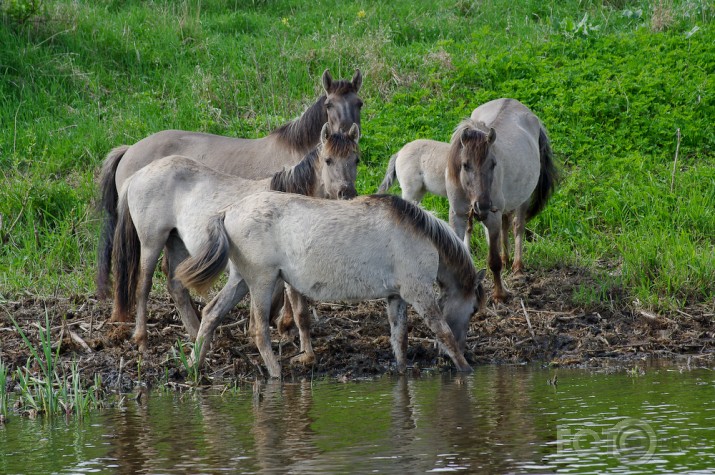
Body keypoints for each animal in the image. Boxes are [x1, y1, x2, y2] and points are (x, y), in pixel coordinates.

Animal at [110, 122, 360, 354]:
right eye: (328, 160)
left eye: (356, 159)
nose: (347, 193)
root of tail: (138, 174)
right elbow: (299, 312)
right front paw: (304, 352)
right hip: (151, 242)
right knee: (143, 286)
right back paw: (142, 339)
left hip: (177, 242)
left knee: (176, 287)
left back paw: (197, 335)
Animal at [175, 192, 486, 378]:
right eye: (473, 310)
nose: (465, 347)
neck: (420, 233)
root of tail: (229, 210)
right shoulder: (419, 293)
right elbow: (443, 331)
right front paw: (464, 367)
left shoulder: (396, 297)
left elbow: (400, 339)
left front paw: (402, 371)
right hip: (262, 282)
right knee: (259, 330)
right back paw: (276, 374)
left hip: (240, 280)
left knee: (211, 314)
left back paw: (194, 365)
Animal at [380, 97, 560, 302]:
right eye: (465, 165)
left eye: (493, 163)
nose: (483, 205)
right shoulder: (458, 215)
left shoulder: (492, 217)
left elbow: (493, 260)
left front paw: (500, 294)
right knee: (505, 226)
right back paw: (507, 261)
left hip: (522, 198)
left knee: (517, 226)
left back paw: (517, 268)